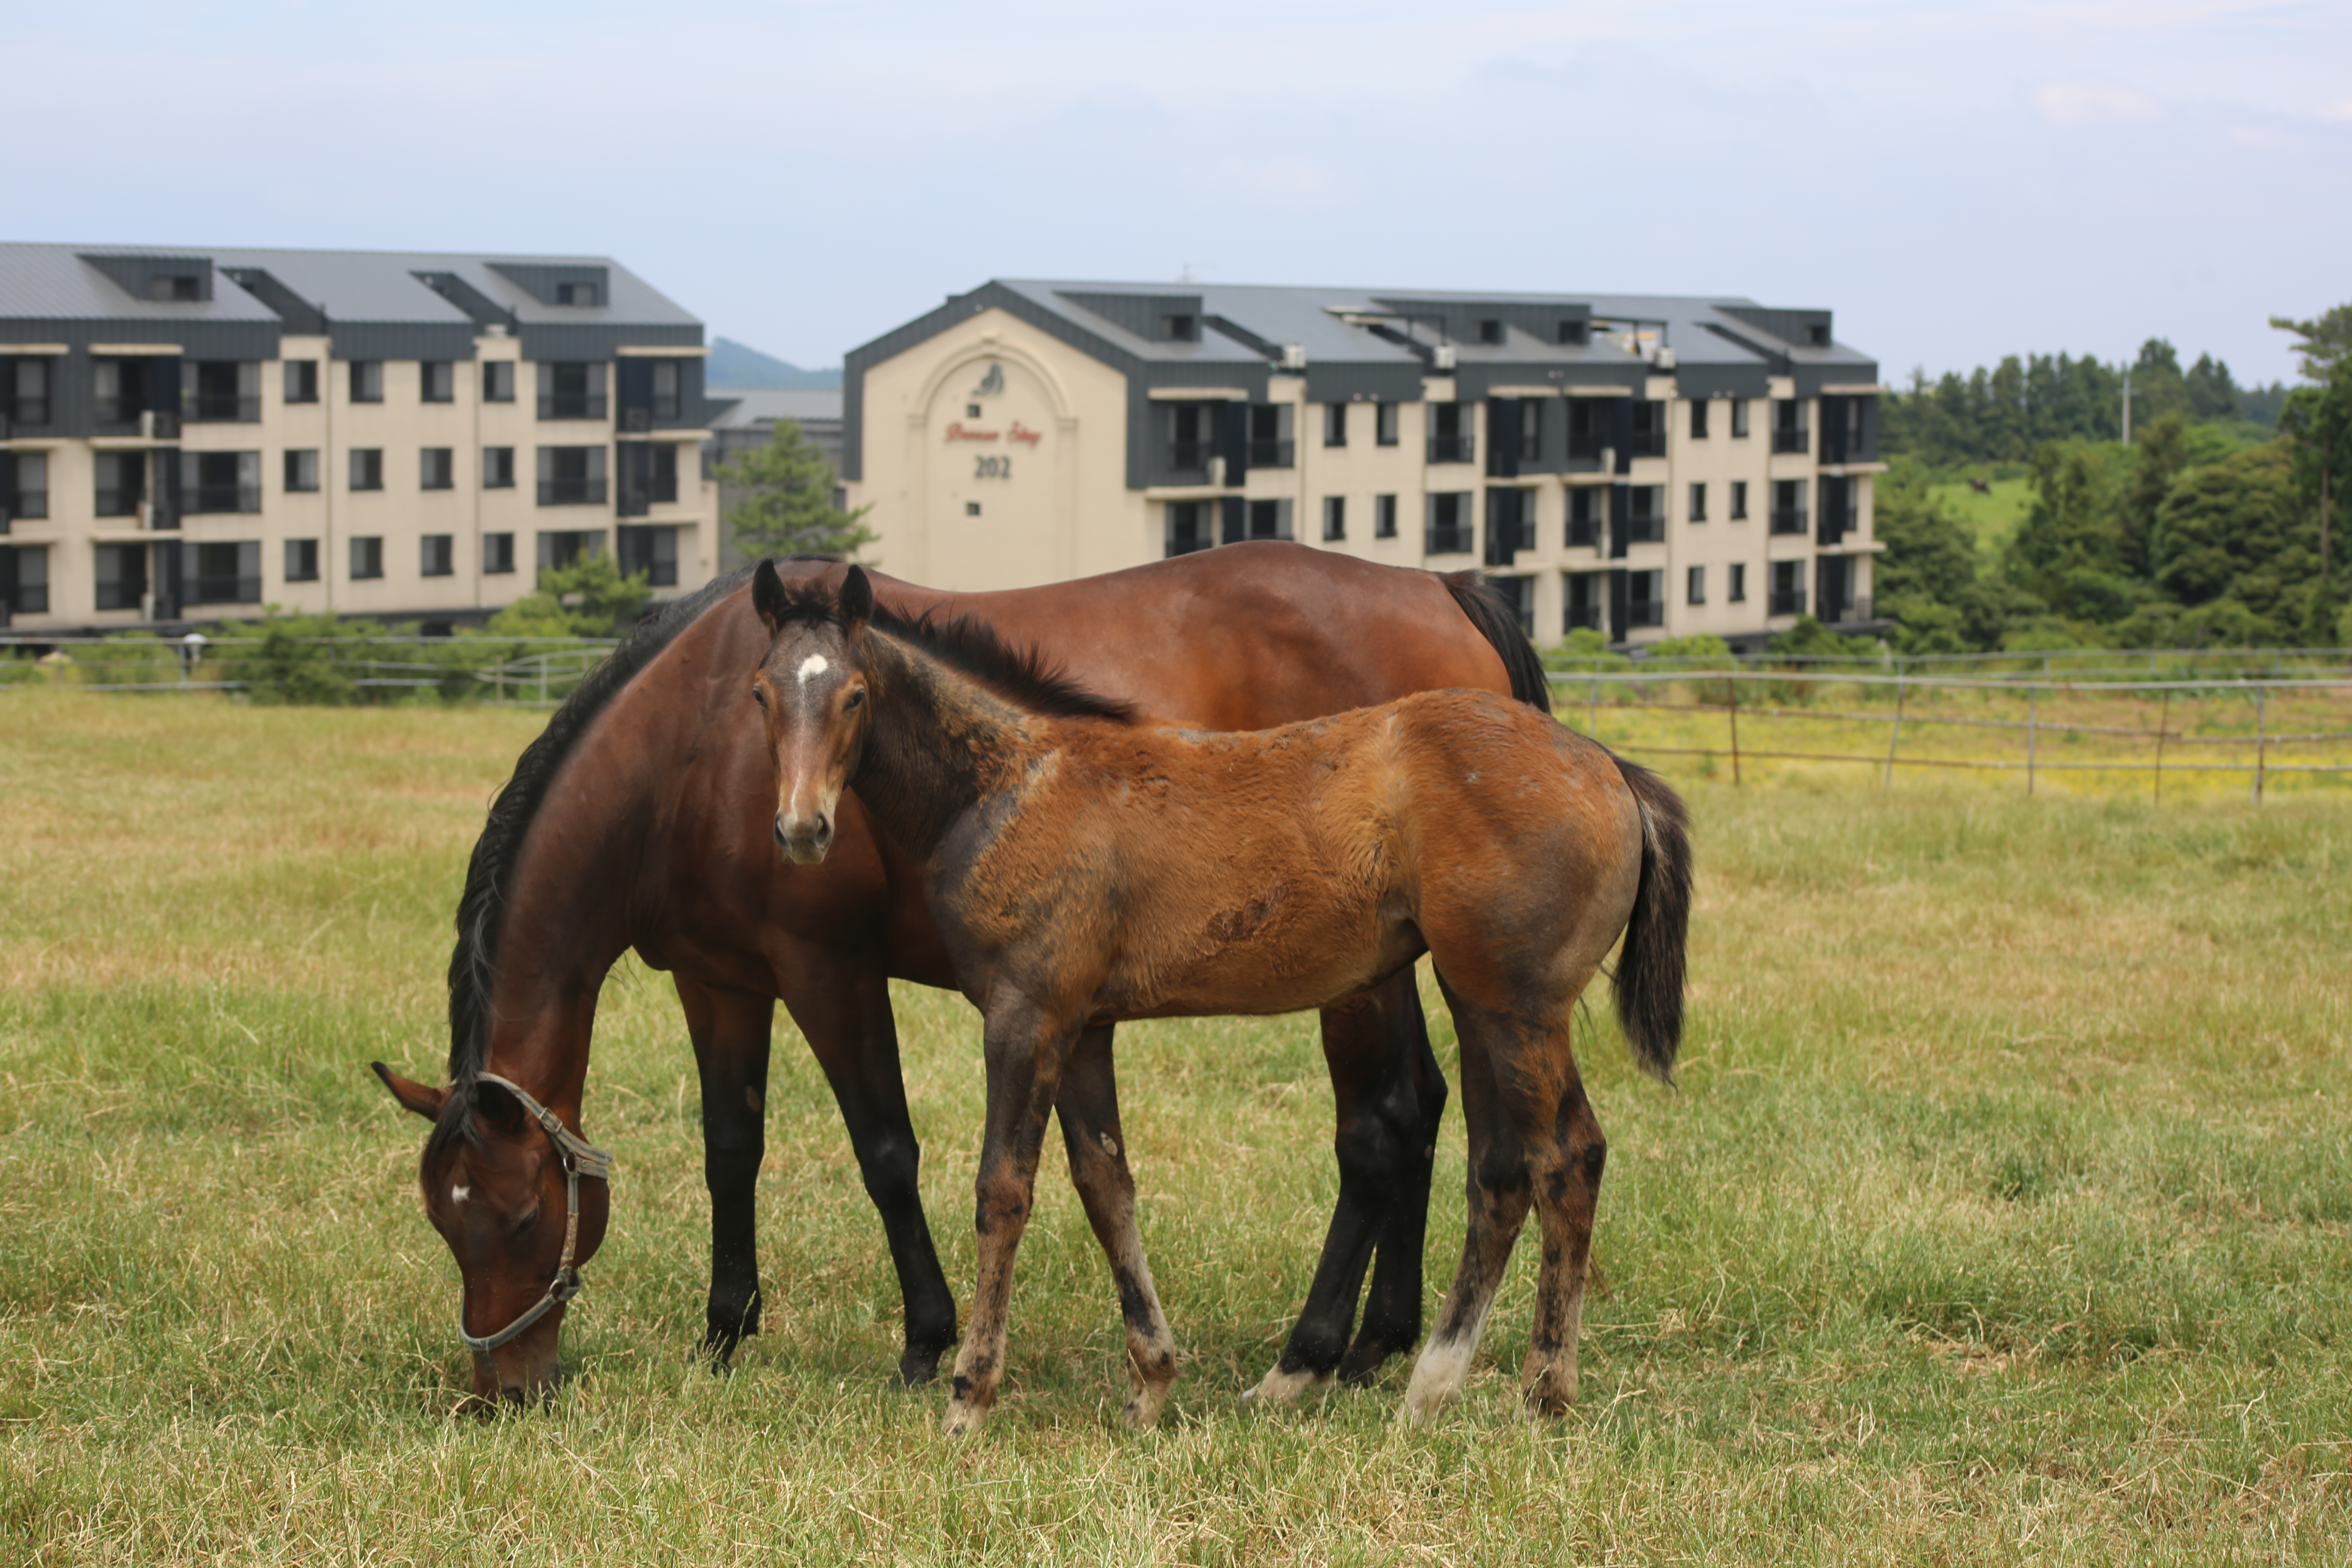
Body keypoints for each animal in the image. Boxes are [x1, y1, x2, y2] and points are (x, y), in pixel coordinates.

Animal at [372, 545, 1561, 1401]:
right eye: (443, 1220)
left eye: (521, 1218)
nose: (503, 1389)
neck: (692, 745)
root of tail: (1437, 589)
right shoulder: (719, 980)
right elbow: (730, 1149)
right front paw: (724, 1331)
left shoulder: (828, 972)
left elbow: (885, 1152)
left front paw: (925, 1341)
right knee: (1421, 1110)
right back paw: (1377, 1344)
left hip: (1360, 977)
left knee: (1378, 1125)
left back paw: (1313, 1353)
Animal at [753, 564, 1693, 1439]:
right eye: (762, 692)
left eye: (855, 695)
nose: (801, 830)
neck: (1015, 782)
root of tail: (1610, 768)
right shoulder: (1085, 1029)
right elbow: (1107, 1187)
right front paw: (1150, 1384)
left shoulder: (1026, 1016)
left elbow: (1004, 1191)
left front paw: (969, 1398)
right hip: (1478, 1000)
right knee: (1502, 1169)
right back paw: (1430, 1388)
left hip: (1519, 1008)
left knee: (1565, 1158)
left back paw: (1542, 1394)